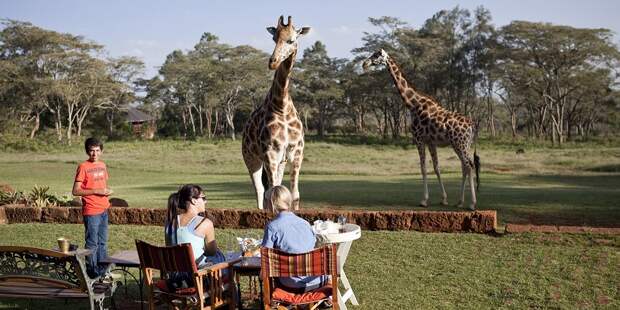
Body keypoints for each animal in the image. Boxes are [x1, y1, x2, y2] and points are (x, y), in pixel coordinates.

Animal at [241, 16, 310, 211]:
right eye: (274, 38)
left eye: (291, 40)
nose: (272, 62)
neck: (282, 106)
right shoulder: (269, 152)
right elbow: (271, 192)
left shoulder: (296, 152)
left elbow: (294, 194)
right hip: (251, 159)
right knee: (260, 191)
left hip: (281, 161)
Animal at [360, 49, 482, 211]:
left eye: (376, 55)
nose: (364, 64)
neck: (413, 104)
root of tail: (472, 125)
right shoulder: (431, 142)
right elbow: (436, 167)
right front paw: (444, 199)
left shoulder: (419, 139)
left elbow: (423, 167)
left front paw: (424, 200)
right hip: (463, 144)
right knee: (465, 166)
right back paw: (460, 202)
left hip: (459, 143)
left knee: (468, 165)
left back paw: (472, 204)